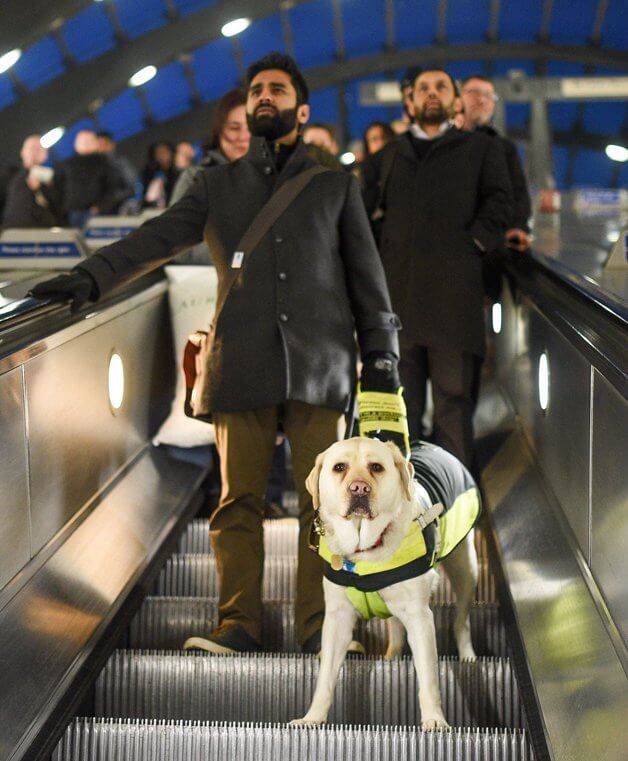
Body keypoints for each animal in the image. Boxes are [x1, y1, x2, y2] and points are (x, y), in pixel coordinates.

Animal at [290, 436, 480, 728]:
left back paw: (468, 655)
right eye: (339, 467)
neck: (364, 550)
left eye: (376, 467)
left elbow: (429, 678)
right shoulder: (337, 618)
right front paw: (312, 718)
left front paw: (435, 721)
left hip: (466, 568)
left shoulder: (420, 617)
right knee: (396, 628)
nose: (359, 488)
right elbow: (325, 679)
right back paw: (391, 655)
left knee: (461, 620)